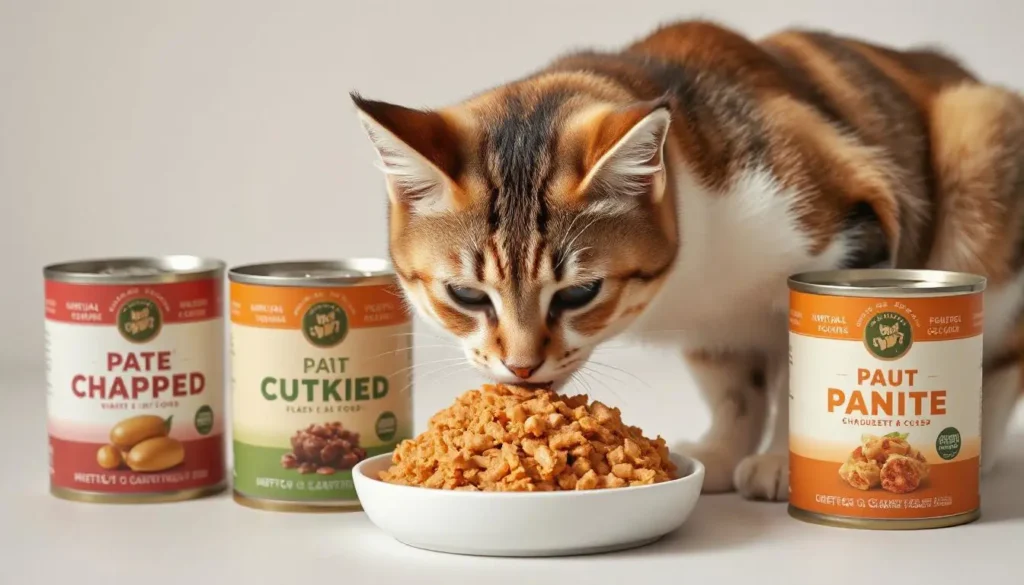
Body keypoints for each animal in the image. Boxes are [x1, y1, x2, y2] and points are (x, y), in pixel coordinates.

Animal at [352, 20, 1024, 502]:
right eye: (466, 295)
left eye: (578, 293)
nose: (520, 367)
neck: (694, 276)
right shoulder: (713, 328)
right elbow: (733, 384)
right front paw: (724, 453)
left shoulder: (851, 219)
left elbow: (803, 363)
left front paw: (784, 463)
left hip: (977, 149)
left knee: (1002, 350)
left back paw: (981, 442)